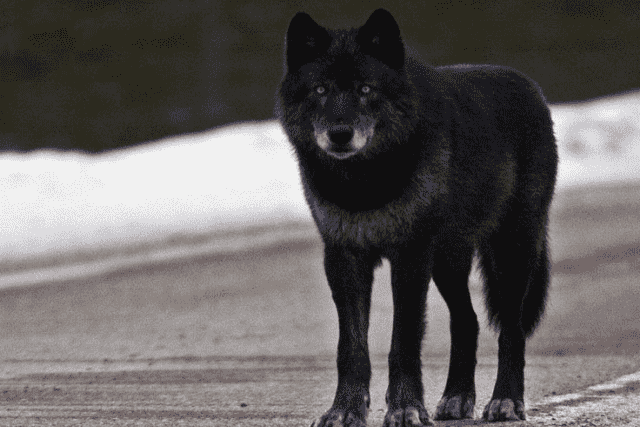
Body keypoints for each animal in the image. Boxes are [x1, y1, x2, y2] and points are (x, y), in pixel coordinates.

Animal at [277, 8, 557, 427]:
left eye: (365, 89)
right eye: (321, 90)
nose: (340, 134)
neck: (364, 183)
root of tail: (532, 88)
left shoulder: (410, 256)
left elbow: (404, 341)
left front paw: (406, 407)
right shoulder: (344, 258)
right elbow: (351, 348)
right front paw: (344, 410)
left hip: (511, 252)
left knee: (512, 329)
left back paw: (505, 401)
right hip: (447, 263)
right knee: (468, 321)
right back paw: (456, 398)